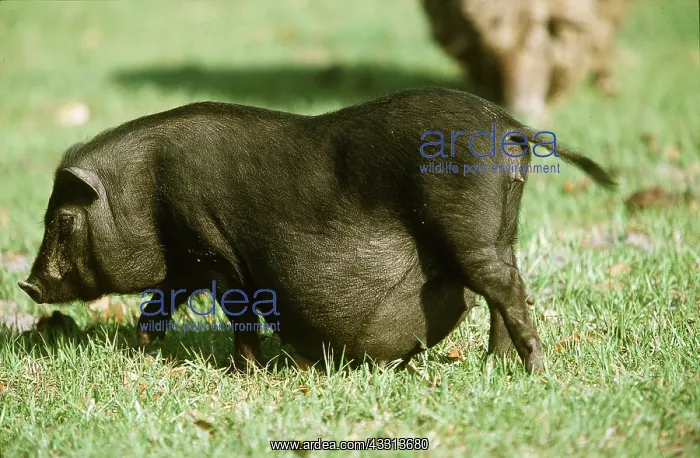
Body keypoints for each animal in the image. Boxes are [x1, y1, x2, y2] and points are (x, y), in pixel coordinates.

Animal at [19, 87, 616, 373]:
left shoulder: (212, 247)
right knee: (503, 290)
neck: (143, 188)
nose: (27, 284)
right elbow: (160, 299)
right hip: (501, 228)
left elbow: (239, 310)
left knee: (505, 289)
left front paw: (245, 373)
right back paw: (496, 364)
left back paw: (534, 371)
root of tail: (510, 126)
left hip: (467, 226)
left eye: (61, 220)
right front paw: (143, 350)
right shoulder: (188, 256)